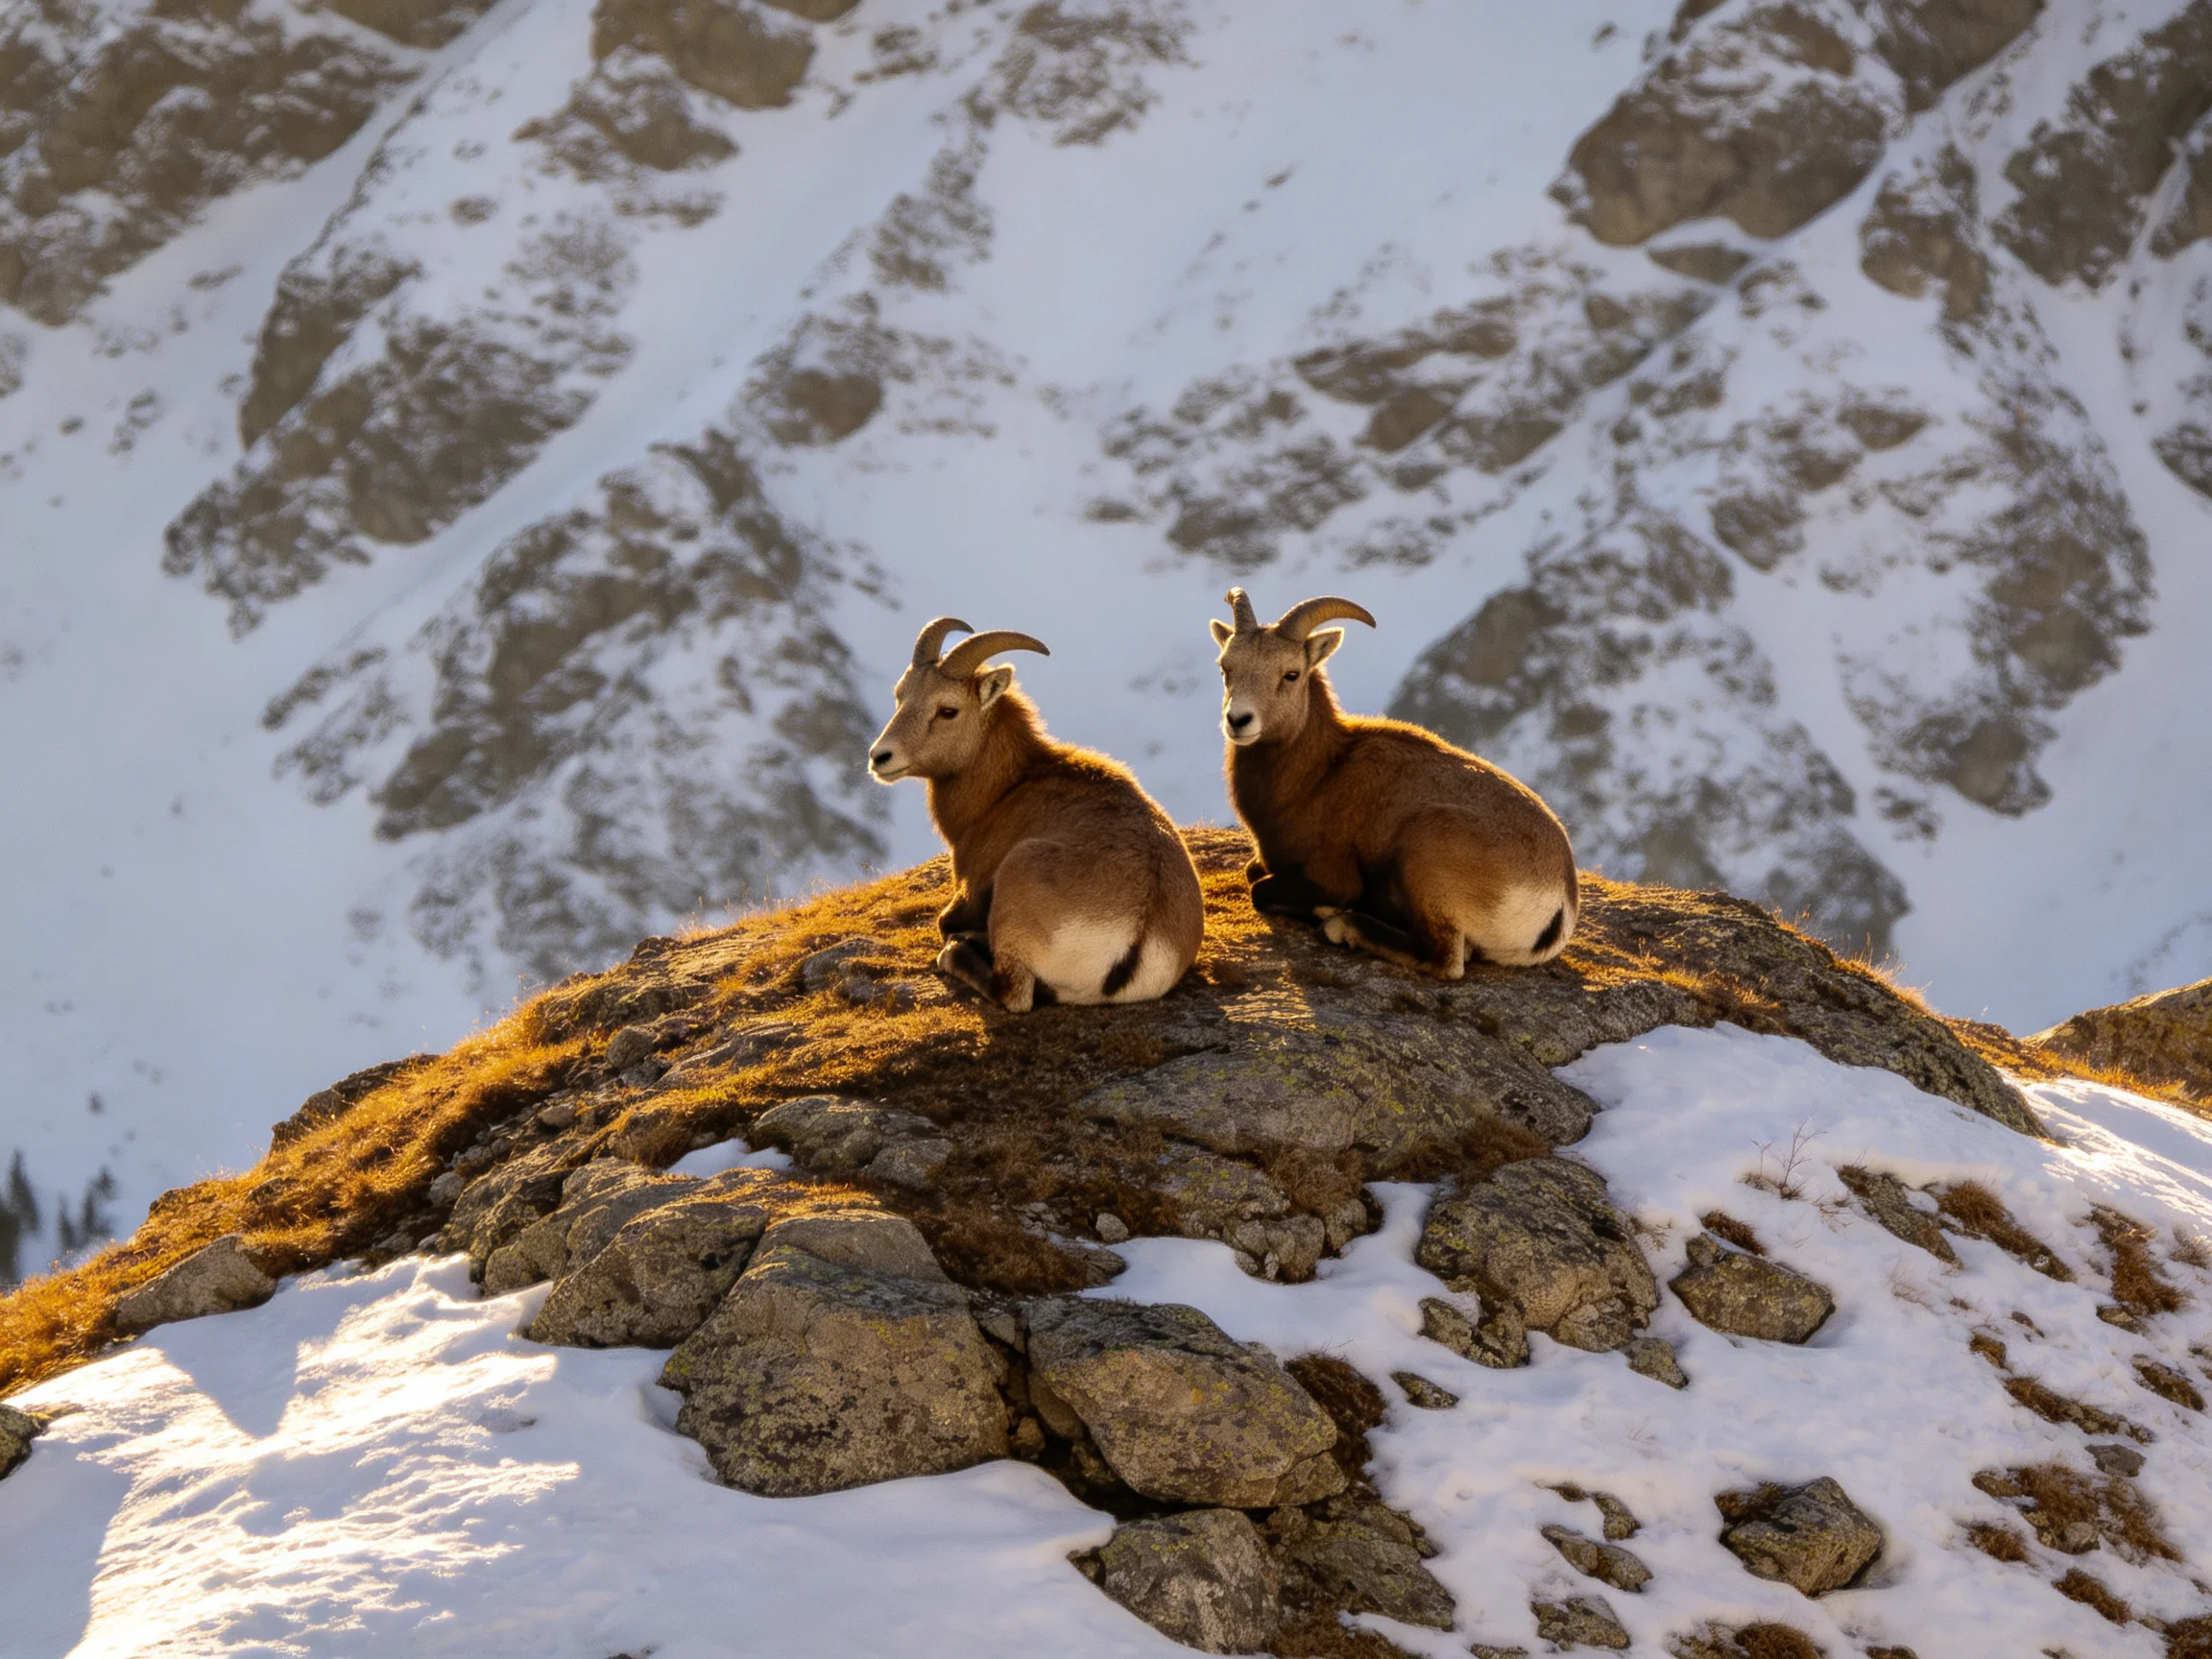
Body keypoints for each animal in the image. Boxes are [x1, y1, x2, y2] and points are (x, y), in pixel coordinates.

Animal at [868, 618, 1204, 1011]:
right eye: (900, 695)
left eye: (948, 709)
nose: (880, 757)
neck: (1007, 788)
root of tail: (1136, 940)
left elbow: (944, 922)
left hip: (1020, 870)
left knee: (1012, 993)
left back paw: (958, 950)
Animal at [1209, 588, 1578, 976]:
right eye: (1225, 667)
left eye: (1291, 674)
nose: (1238, 720)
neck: (1319, 775)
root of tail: (1559, 906)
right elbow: (1252, 871)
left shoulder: (1331, 877)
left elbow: (1260, 889)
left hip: (1424, 853)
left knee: (1447, 960)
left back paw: (1341, 923)